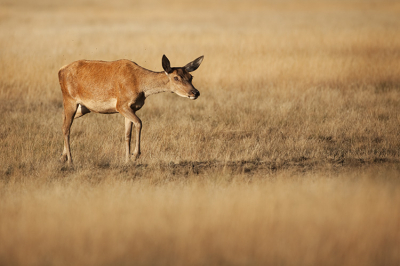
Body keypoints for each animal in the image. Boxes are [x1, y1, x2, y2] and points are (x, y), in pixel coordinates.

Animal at [57, 55, 205, 165]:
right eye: (176, 78)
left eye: (191, 77)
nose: (195, 92)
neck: (141, 86)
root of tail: (60, 71)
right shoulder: (121, 105)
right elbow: (139, 123)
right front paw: (135, 155)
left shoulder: (132, 108)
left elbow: (127, 133)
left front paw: (127, 160)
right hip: (69, 99)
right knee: (66, 127)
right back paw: (70, 161)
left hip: (84, 108)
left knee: (64, 121)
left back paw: (62, 157)